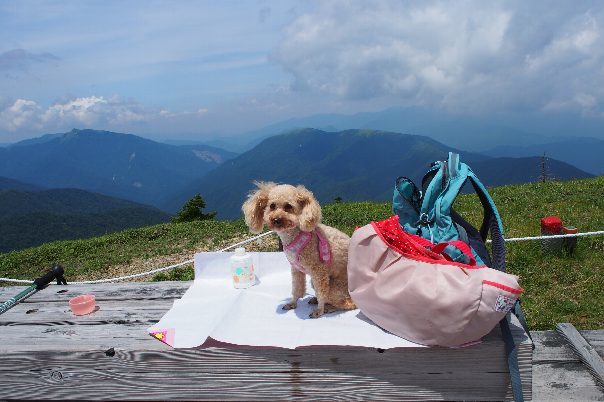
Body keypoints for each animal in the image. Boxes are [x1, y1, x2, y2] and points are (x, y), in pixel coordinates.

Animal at [242, 181, 356, 318]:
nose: (276, 220)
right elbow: (297, 288)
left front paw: (319, 310)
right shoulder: (296, 269)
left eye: (288, 206)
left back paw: (328, 307)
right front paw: (292, 303)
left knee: (348, 303)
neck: (295, 235)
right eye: (272, 206)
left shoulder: (319, 271)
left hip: (334, 287)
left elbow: (321, 293)